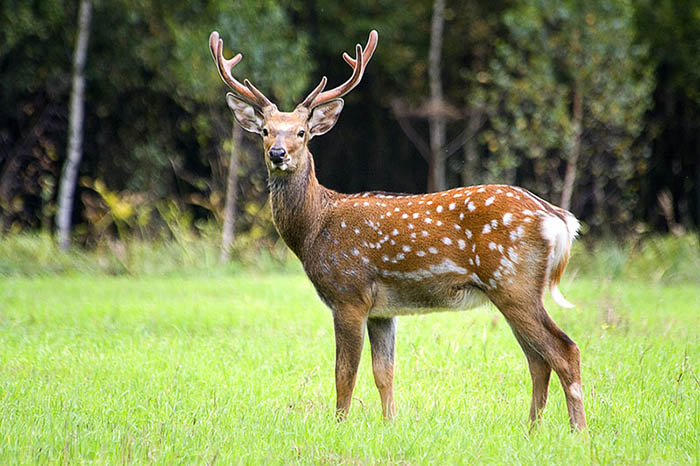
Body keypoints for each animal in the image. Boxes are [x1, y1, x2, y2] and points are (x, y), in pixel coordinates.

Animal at [211, 28, 588, 430]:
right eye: (266, 131)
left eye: (301, 133)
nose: (277, 154)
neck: (314, 227)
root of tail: (557, 218)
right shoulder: (382, 309)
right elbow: (384, 372)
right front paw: (390, 423)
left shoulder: (349, 293)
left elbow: (345, 373)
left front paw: (339, 426)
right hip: (515, 289)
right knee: (537, 360)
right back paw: (531, 430)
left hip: (512, 281)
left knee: (564, 350)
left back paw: (578, 431)